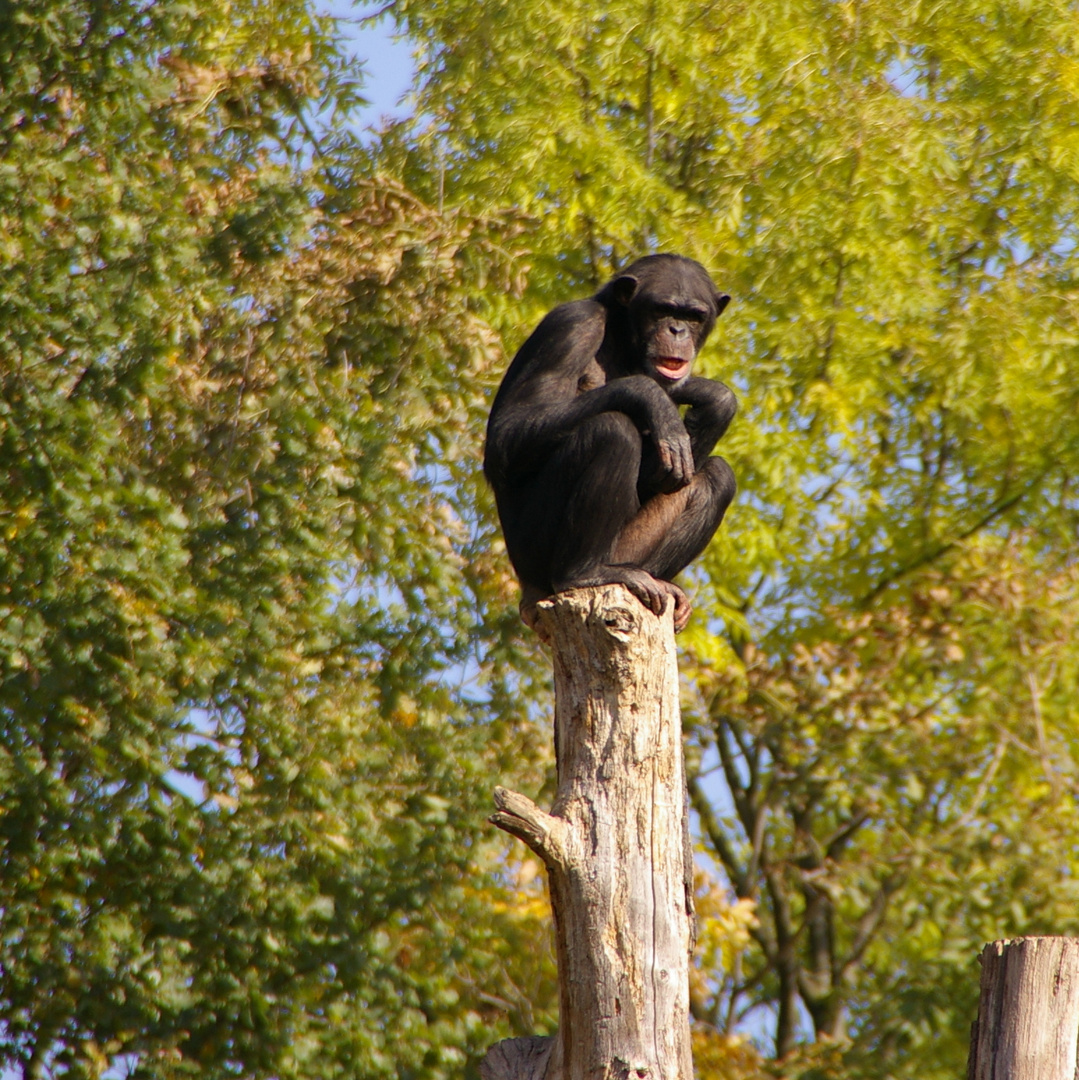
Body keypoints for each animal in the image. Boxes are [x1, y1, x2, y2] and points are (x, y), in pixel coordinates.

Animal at [486, 253, 738, 630]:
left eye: (693, 316)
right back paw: (583, 573)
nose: (677, 331)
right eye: (662, 310)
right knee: (611, 431)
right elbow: (507, 433)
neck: (623, 341)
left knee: (718, 476)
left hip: (627, 552)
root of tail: (529, 594)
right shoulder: (571, 325)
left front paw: (715, 400)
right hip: (532, 551)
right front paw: (649, 395)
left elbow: (659, 476)